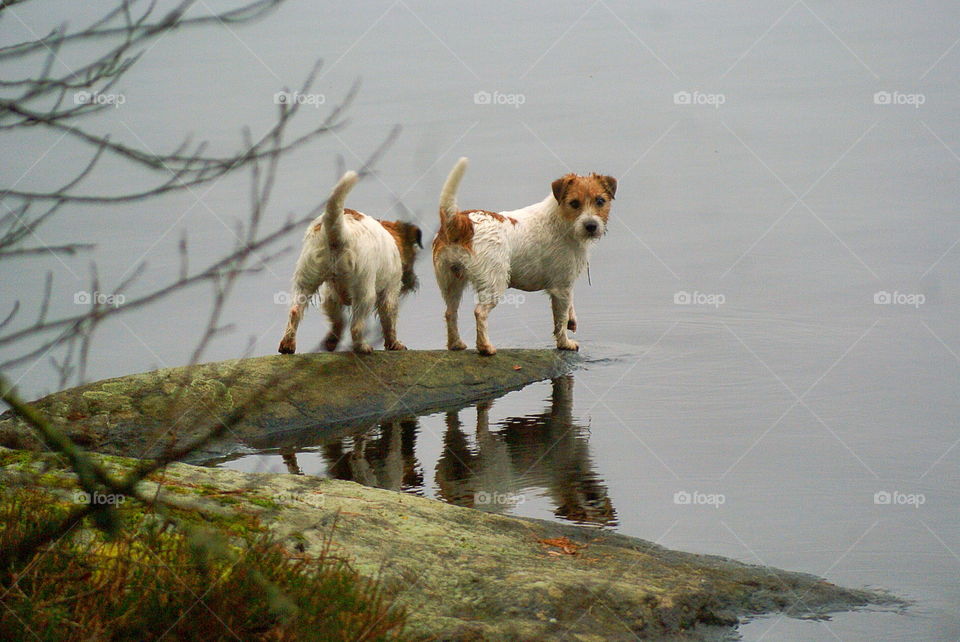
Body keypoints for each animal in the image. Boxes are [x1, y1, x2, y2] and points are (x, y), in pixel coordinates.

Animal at [278, 171, 420, 356]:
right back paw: (362, 347)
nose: (413, 284)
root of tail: (339, 232)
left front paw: (331, 341)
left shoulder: (330, 295)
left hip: (305, 280)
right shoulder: (390, 292)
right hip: (365, 292)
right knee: (357, 326)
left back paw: (288, 345)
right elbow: (389, 320)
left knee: (295, 310)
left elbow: (338, 320)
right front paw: (394, 344)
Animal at [434, 157, 620, 352]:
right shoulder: (561, 287)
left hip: (451, 282)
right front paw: (565, 343)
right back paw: (485, 347)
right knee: (480, 312)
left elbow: (570, 306)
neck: (560, 220)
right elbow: (560, 320)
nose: (591, 226)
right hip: (494, 282)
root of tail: (460, 222)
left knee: (450, 312)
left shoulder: (566, 285)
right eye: (574, 203)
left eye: (600, 201)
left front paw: (572, 320)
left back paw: (456, 344)